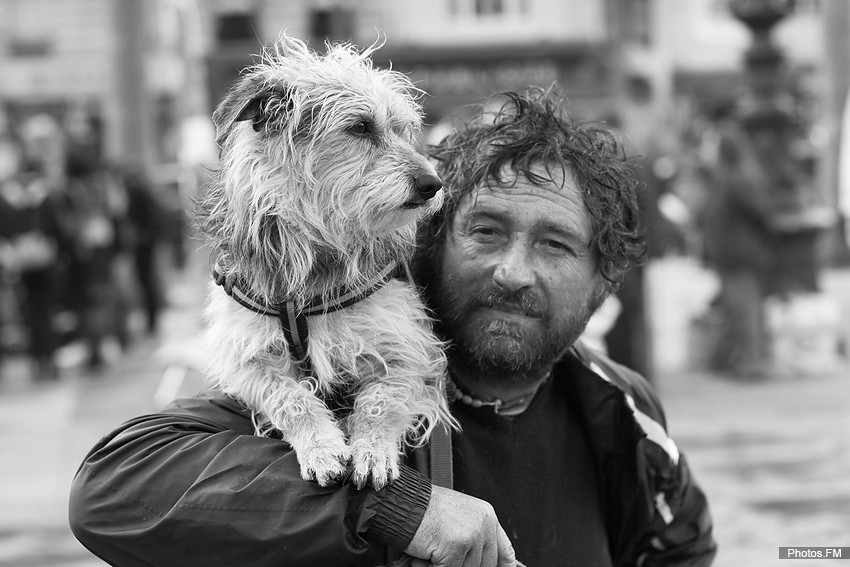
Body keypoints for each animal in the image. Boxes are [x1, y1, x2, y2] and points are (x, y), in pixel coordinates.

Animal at [196, 35, 454, 490]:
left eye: (403, 130)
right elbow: (289, 397)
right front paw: (321, 447)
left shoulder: (413, 349)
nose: (434, 184)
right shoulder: (244, 356)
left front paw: (373, 449)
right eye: (360, 127)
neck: (318, 252)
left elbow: (382, 399)